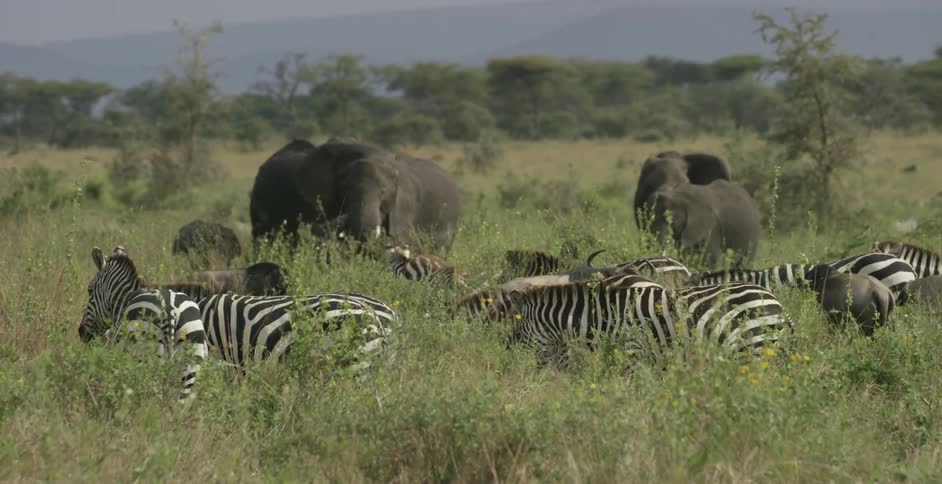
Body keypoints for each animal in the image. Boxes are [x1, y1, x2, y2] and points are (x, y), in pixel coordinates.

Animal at [80, 246, 208, 403]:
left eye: (89, 290)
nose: (81, 332)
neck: (124, 300)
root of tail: (170, 307)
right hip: (190, 362)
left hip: (145, 358)